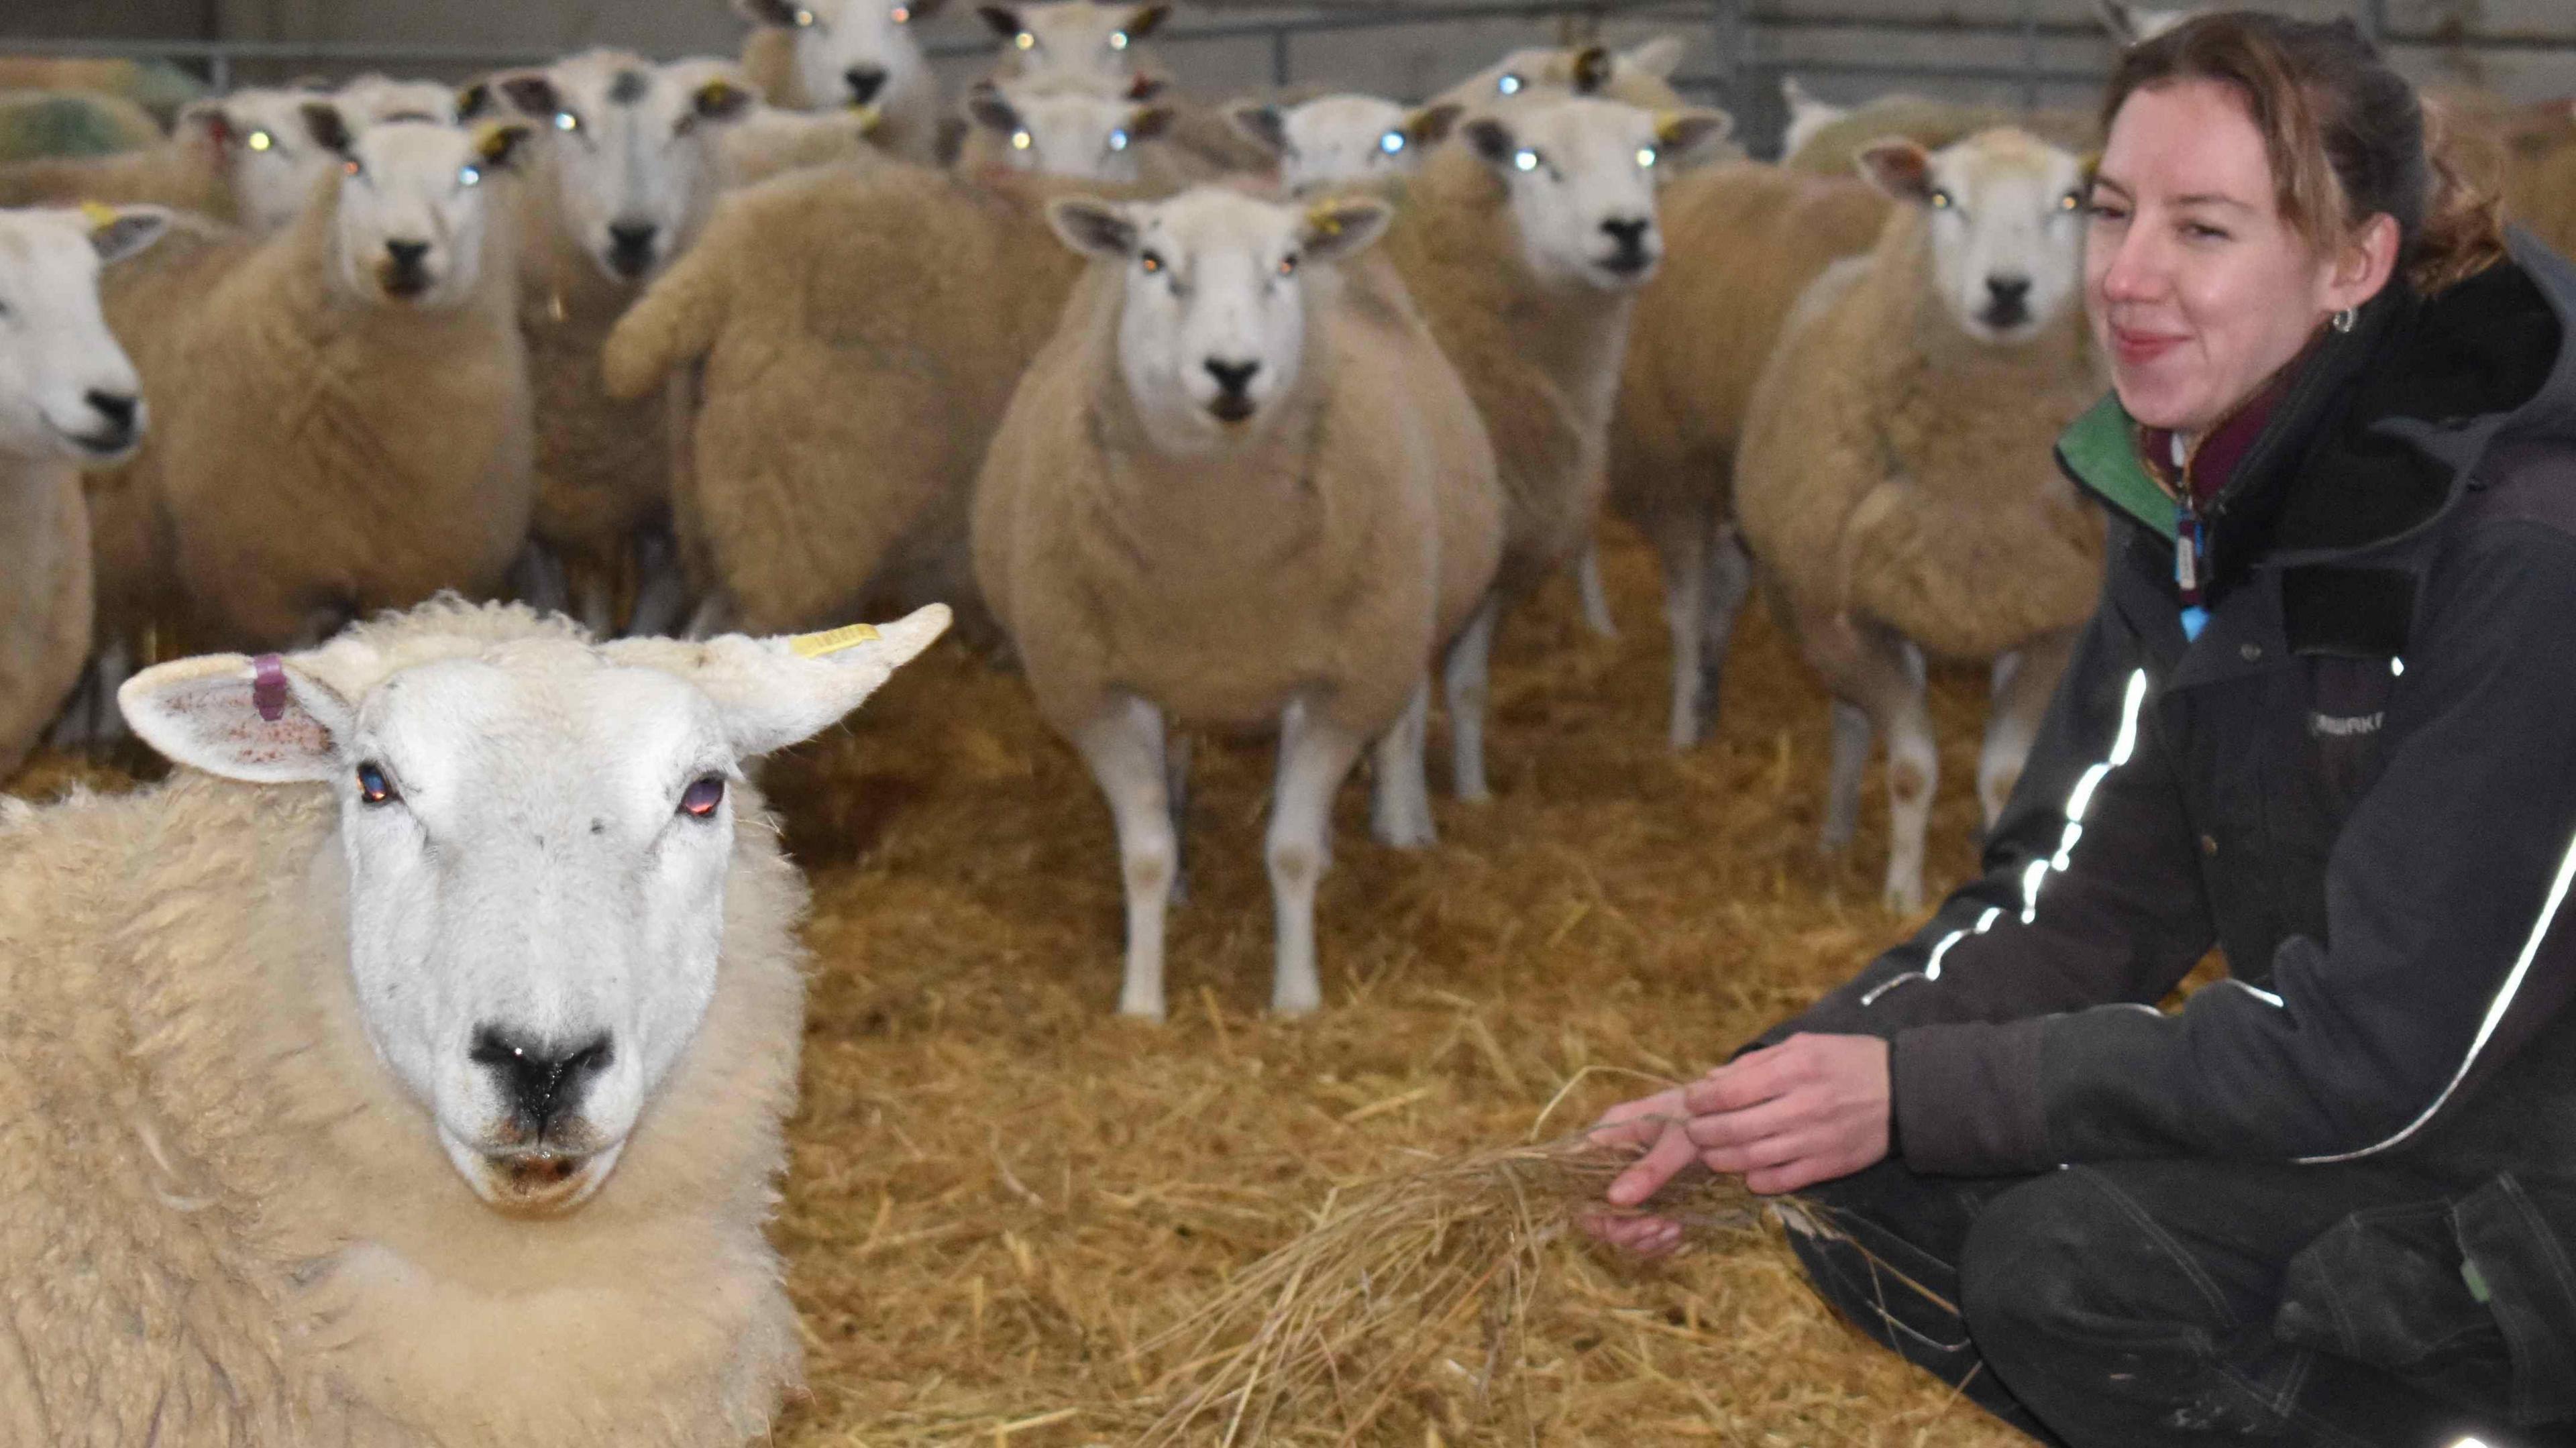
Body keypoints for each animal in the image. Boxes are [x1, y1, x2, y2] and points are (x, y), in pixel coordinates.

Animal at [472, 51, 762, 639]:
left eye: (685, 123)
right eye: (570, 120)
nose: (633, 234)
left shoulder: (674, 512)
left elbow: (650, 621)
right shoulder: (538, 507)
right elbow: (553, 606)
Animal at [973, 187, 1500, 1019]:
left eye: (1287, 263)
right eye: (1150, 261)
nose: (1232, 370)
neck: (1218, 565)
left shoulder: (1339, 683)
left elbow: (1288, 848)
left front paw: (1296, 995)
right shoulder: (1095, 688)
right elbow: (1145, 853)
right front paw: (1142, 1000)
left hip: (1399, 621)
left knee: (1400, 723)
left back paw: (1396, 823)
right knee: (1181, 768)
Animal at [1378, 94, 1730, 800]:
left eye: (1650, 152)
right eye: (1530, 159)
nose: (1627, 229)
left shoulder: (1498, 552)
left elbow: (1468, 686)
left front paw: (1474, 796)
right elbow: (1402, 727)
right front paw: (1405, 818)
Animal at [1734, 129, 2107, 913]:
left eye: (2072, 201)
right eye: (1942, 197)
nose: (2007, 289)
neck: (1980, 485)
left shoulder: (2054, 626)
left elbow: (2005, 771)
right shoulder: (1857, 624)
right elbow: (1910, 769)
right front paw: (1902, 893)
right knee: (1849, 723)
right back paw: (1837, 828)